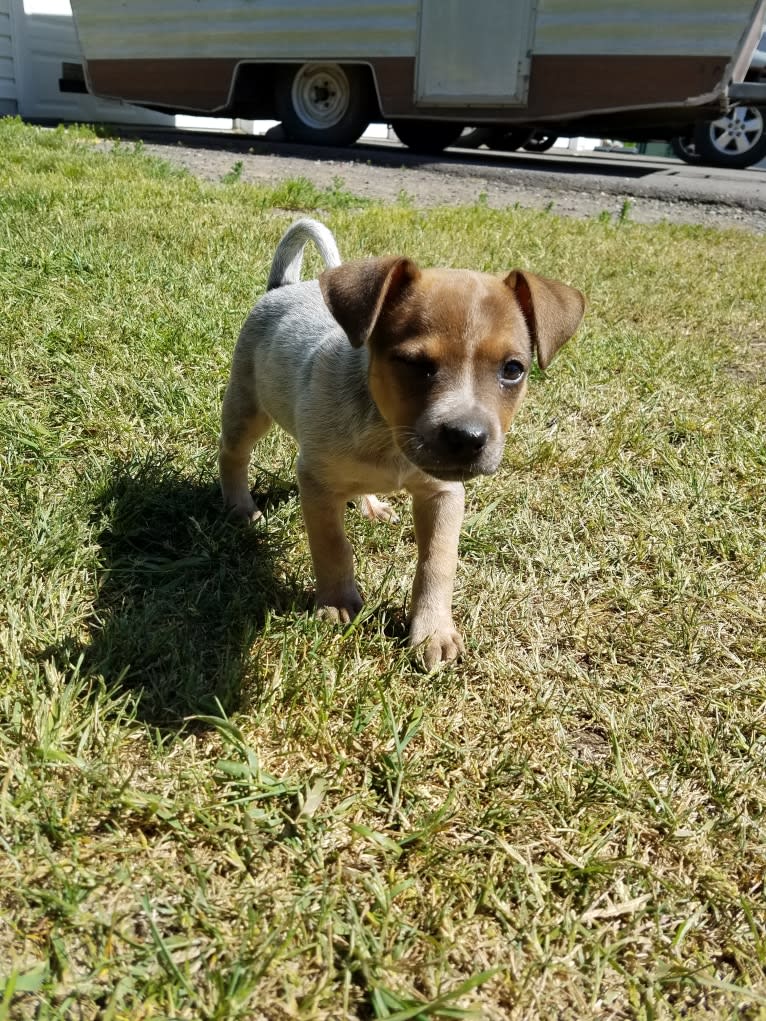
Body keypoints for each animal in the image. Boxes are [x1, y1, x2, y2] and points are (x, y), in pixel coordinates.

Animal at [218, 217, 584, 669]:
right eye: (414, 364)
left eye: (513, 369)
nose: (467, 437)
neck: (388, 436)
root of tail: (284, 286)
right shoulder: (317, 484)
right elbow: (332, 546)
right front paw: (337, 603)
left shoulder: (443, 494)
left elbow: (436, 564)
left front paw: (432, 631)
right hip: (248, 407)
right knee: (233, 454)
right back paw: (240, 506)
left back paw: (371, 505)